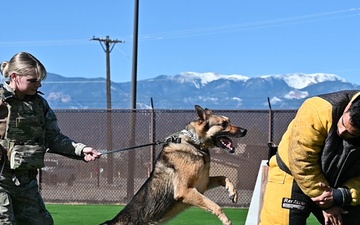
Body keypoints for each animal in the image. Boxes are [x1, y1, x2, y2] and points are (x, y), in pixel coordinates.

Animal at [101, 105, 248, 225]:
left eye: (229, 120)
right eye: (223, 124)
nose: (245, 131)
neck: (194, 142)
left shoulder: (202, 184)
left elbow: (224, 177)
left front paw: (232, 192)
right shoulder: (185, 191)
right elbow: (216, 206)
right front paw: (226, 221)